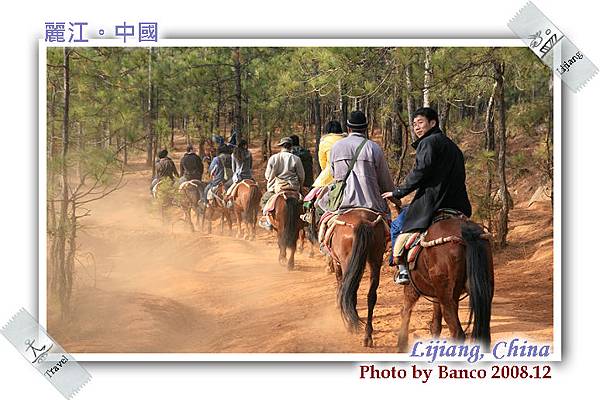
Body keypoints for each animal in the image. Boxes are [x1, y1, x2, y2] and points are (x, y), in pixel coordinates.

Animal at [328, 208, 390, 348]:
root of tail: (362, 221)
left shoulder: (337, 262)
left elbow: (340, 283)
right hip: (375, 259)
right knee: (371, 296)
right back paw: (368, 335)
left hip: (347, 262)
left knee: (349, 291)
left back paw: (351, 324)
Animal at [398, 217, 492, 352]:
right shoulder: (437, 294)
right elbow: (436, 324)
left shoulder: (412, 286)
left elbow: (406, 310)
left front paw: (402, 344)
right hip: (483, 290)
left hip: (446, 293)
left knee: (457, 331)